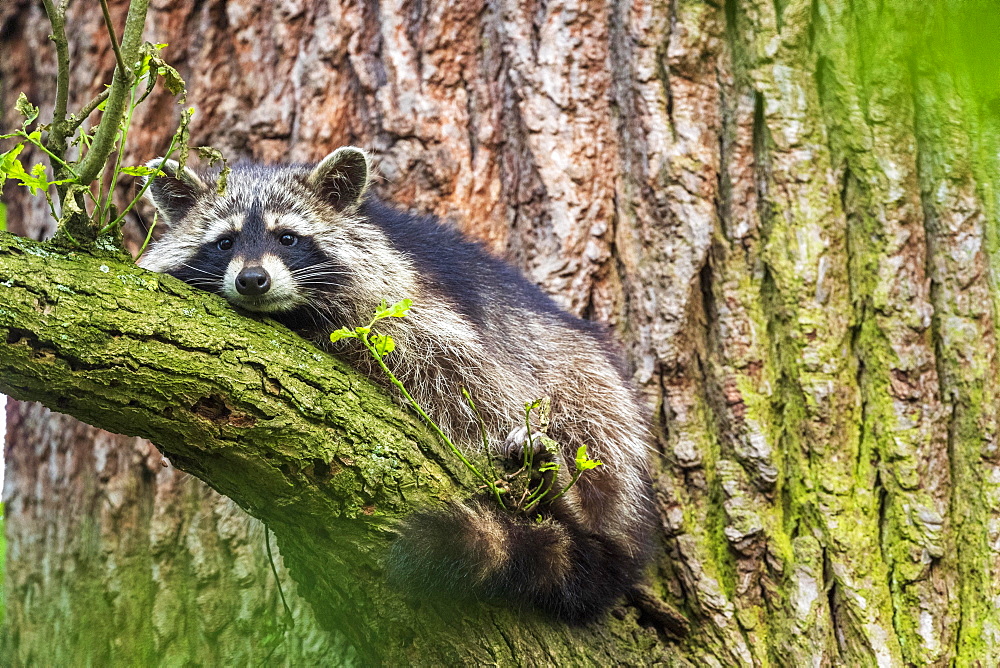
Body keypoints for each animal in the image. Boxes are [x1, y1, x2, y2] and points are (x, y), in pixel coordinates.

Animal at [141, 149, 656, 624]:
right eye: (224, 243)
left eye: (287, 237)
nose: (252, 280)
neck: (291, 313)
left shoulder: (411, 305)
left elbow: (468, 380)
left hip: (588, 377)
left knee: (589, 422)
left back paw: (572, 498)